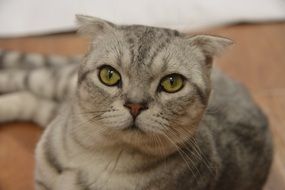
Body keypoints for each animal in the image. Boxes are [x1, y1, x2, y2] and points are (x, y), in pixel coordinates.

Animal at [0, 15, 272, 190]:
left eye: (172, 82)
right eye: (109, 75)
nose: (135, 105)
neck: (91, 156)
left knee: (29, 97)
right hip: (52, 81)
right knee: (20, 79)